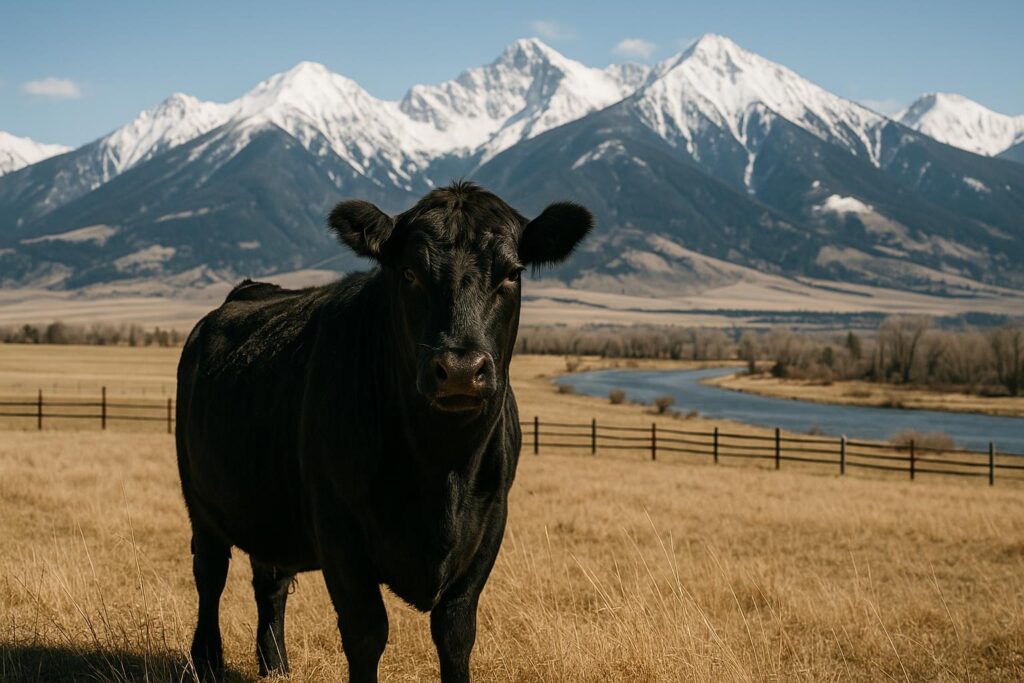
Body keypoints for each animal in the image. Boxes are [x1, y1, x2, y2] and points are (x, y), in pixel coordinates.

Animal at [175, 182, 593, 682]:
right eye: (409, 272)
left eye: (511, 274)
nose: (459, 370)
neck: (442, 468)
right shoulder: (338, 530)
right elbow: (366, 633)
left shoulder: (489, 526)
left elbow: (456, 635)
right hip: (200, 498)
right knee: (211, 576)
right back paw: (206, 661)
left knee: (270, 580)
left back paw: (276, 665)